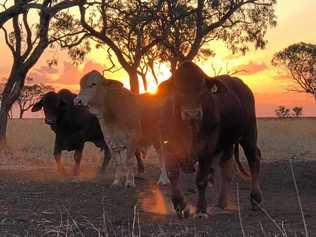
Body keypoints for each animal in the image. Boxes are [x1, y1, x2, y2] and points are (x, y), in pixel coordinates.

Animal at [160, 61, 262, 218]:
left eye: (202, 89)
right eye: (177, 89)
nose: (192, 114)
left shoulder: (207, 148)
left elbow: (201, 179)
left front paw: (201, 209)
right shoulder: (171, 144)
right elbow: (172, 174)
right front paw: (180, 205)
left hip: (249, 134)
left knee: (253, 160)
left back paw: (255, 199)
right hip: (227, 143)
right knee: (226, 169)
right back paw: (221, 203)